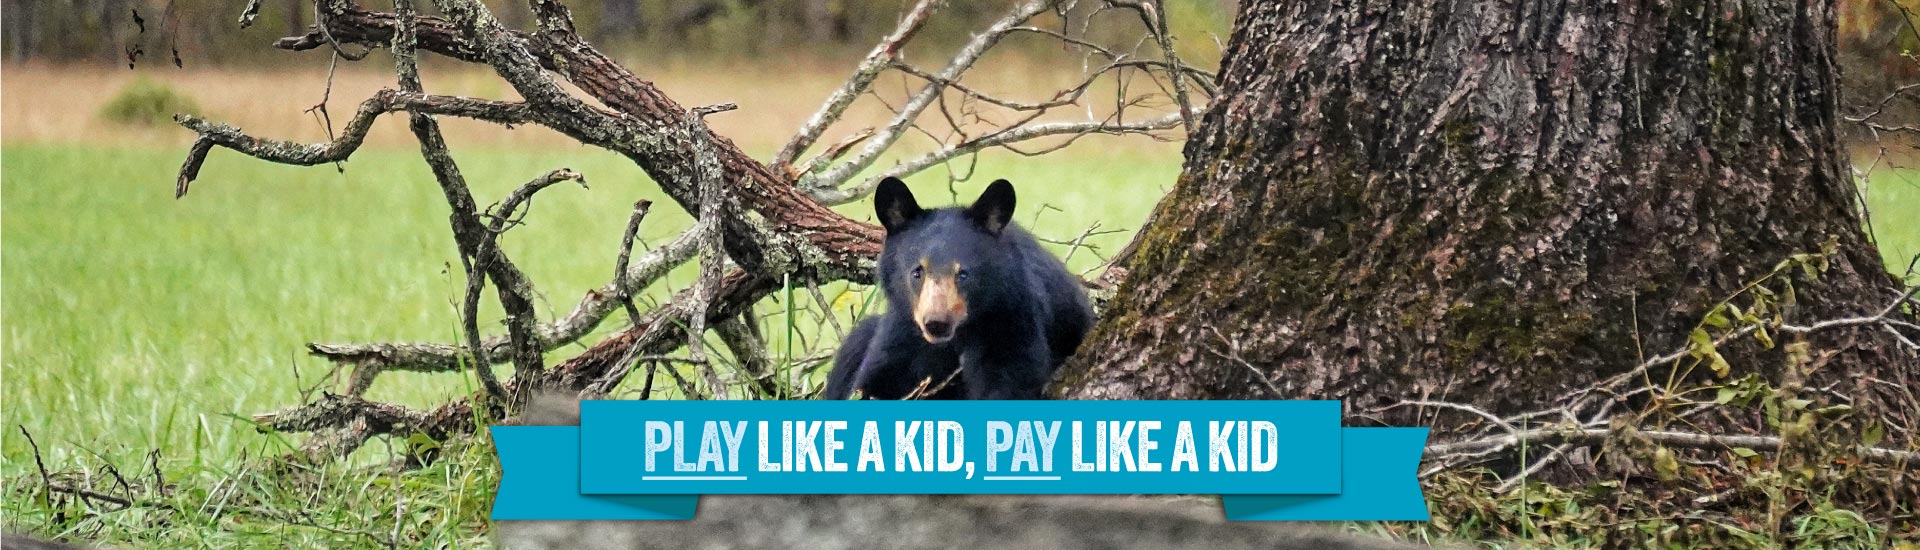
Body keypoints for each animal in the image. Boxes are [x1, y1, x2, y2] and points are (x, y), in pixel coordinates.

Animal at [823, 177, 1094, 400]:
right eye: (917, 271)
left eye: (963, 274)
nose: (937, 323)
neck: (955, 339)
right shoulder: (902, 334)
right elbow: (873, 383)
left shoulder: (1012, 321)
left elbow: (1009, 383)